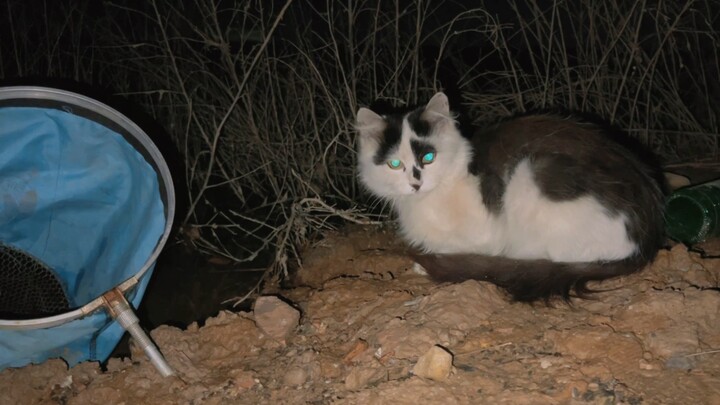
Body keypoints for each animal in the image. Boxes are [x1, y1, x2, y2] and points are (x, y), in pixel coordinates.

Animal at [358, 91, 668, 300]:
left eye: (429, 157)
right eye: (394, 164)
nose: (415, 183)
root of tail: (646, 240)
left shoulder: (483, 234)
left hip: (530, 173)